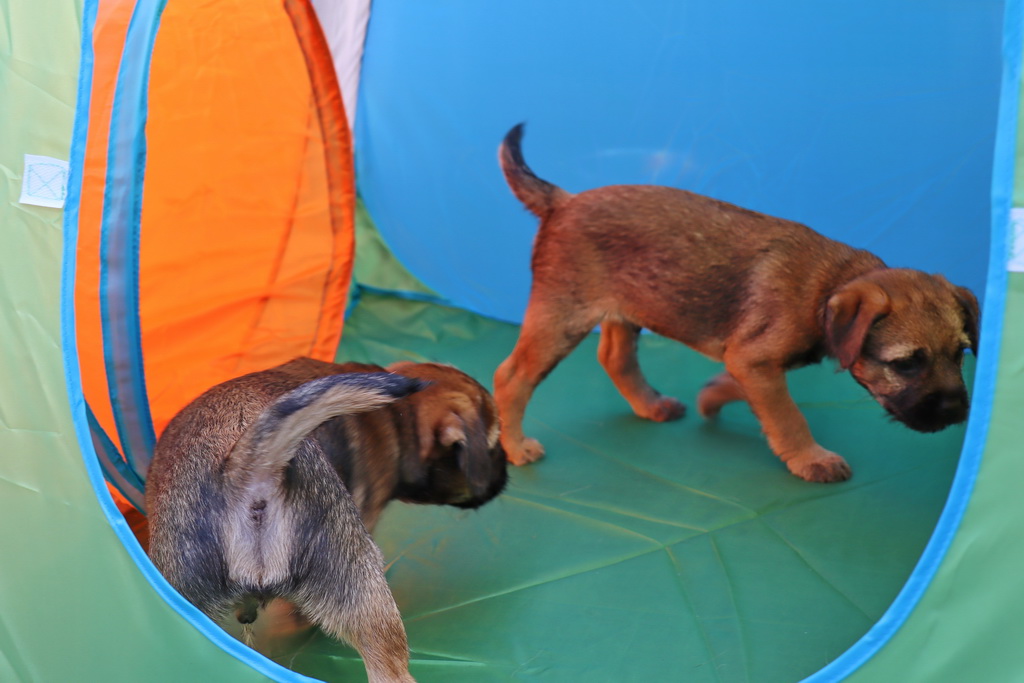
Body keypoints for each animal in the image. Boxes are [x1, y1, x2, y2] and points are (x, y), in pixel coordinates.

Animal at [493, 123, 979, 483]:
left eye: (960, 354)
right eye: (906, 364)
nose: (958, 409)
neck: (825, 288)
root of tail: (563, 201)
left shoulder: (748, 361)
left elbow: (748, 390)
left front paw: (713, 396)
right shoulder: (755, 358)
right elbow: (788, 416)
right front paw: (810, 458)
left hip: (628, 307)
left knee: (614, 357)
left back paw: (651, 406)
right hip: (560, 317)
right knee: (511, 377)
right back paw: (515, 446)